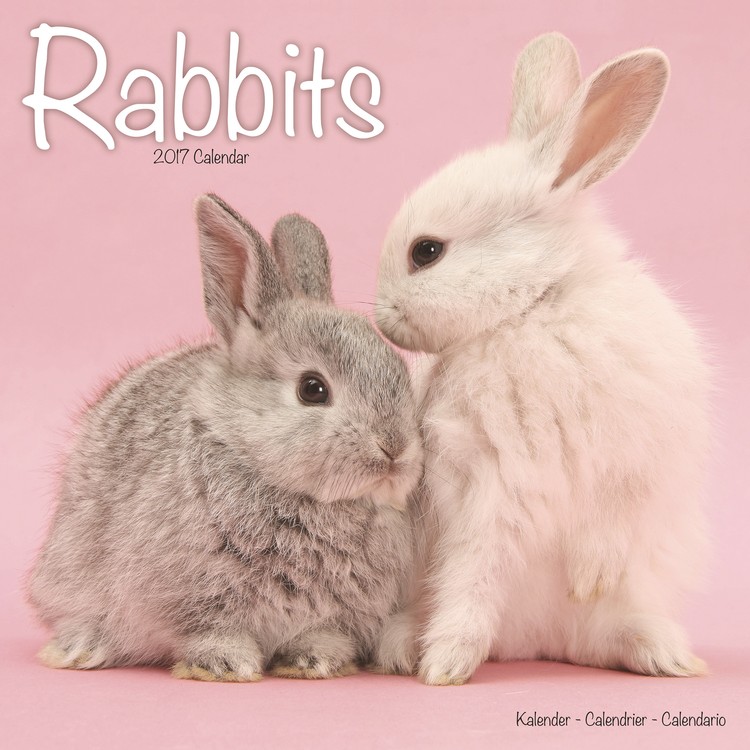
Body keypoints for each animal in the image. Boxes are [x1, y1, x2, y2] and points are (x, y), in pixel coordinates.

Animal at [28, 193, 424, 682]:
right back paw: (80, 649)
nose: (395, 449)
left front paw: (314, 661)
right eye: (313, 389)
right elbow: (212, 630)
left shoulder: (335, 611)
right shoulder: (194, 598)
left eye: (400, 371)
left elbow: (318, 633)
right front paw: (225, 665)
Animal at [373, 33, 711, 685]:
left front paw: (589, 575)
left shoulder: (645, 447)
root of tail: (533, 644)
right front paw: (442, 662)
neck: (532, 307)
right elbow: (474, 572)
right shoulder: (487, 487)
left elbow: (617, 508)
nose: (381, 317)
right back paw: (429, 659)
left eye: (426, 252)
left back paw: (668, 657)